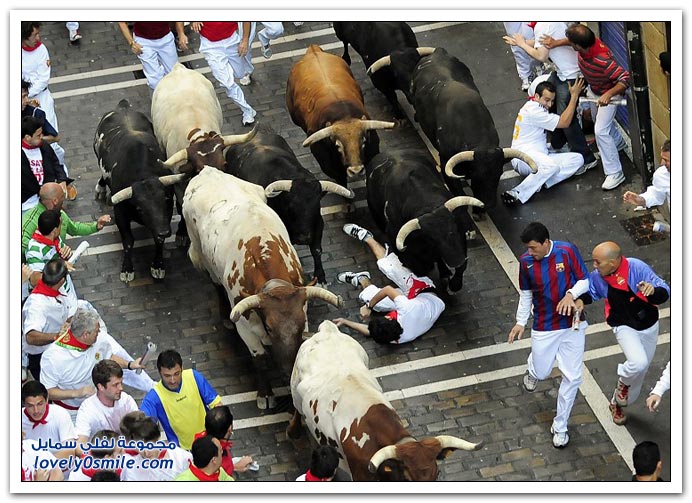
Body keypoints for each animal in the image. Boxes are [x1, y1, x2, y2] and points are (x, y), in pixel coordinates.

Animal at [182, 167, 342, 412]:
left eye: (299, 324)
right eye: (269, 326)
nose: (288, 368)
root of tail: (209, 171)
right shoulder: (245, 328)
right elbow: (260, 360)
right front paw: (265, 394)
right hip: (202, 253)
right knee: (215, 284)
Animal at [286, 320, 482, 482]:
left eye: (437, 474)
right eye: (408, 479)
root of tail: (328, 329)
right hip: (295, 387)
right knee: (296, 409)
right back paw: (293, 430)